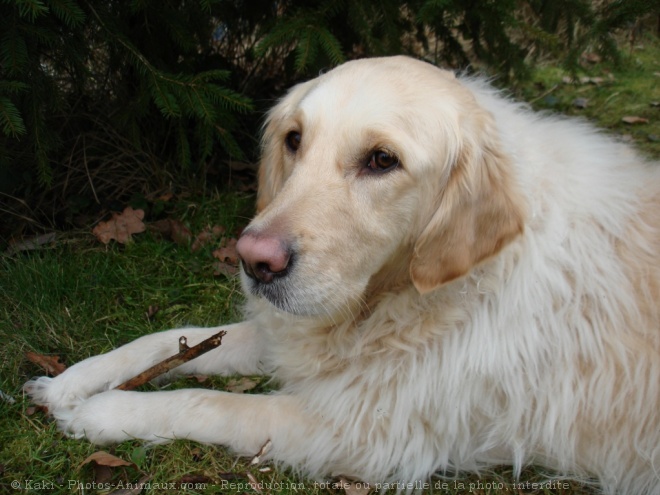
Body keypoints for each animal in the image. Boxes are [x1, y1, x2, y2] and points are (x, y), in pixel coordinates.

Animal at [24, 56, 660, 494]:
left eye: (382, 160)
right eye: (294, 139)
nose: (253, 259)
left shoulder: (366, 432)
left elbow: (204, 402)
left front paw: (104, 413)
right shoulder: (299, 332)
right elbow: (166, 341)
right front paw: (73, 382)